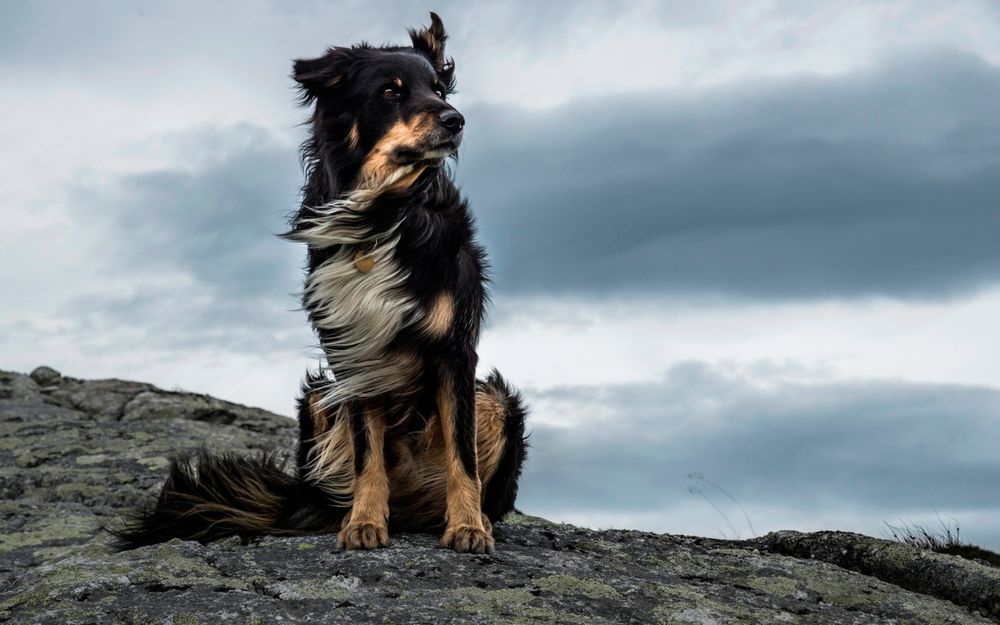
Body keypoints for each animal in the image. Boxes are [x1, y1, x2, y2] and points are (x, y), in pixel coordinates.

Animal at [115, 12, 532, 552]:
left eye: (439, 90)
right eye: (391, 91)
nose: (455, 119)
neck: (382, 214)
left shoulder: (455, 350)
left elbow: (463, 455)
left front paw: (467, 527)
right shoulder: (353, 351)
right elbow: (366, 451)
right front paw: (364, 523)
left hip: (495, 400)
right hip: (319, 396)